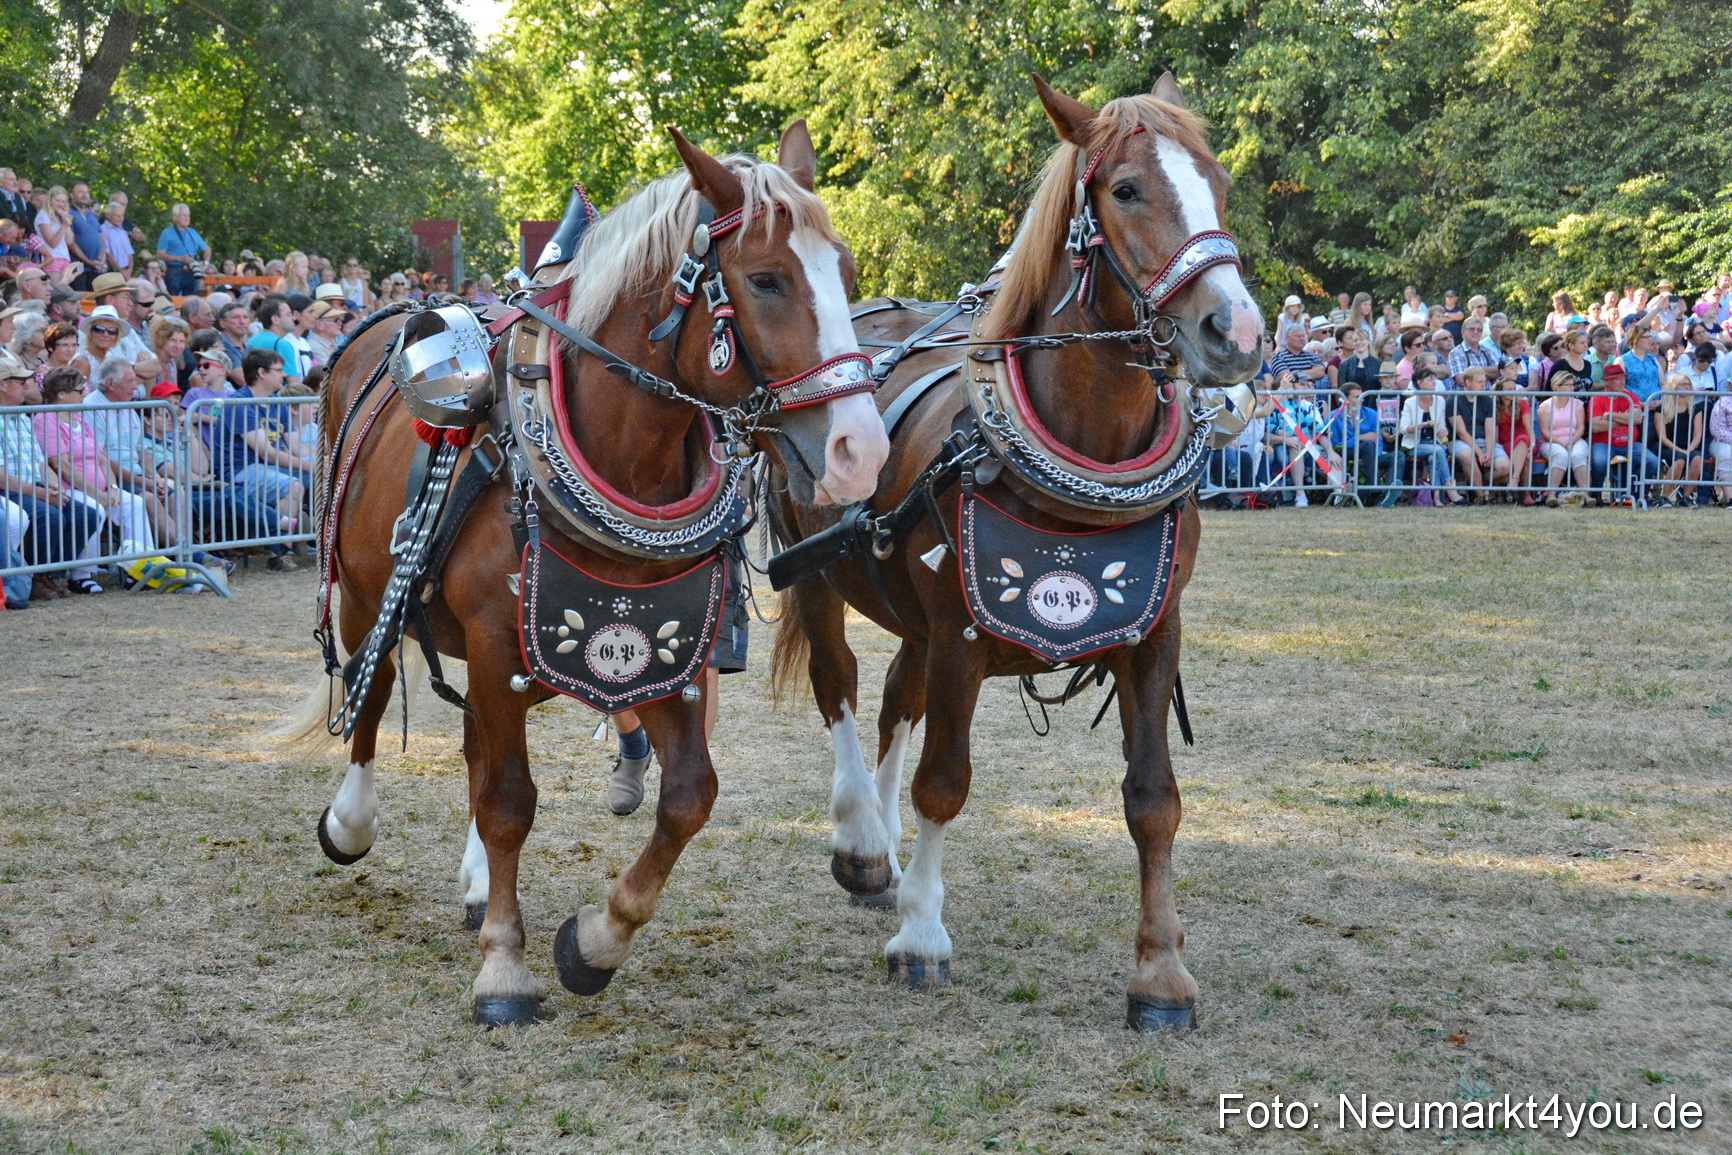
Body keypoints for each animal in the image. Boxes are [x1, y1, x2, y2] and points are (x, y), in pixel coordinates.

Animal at [281, 123, 889, 1026]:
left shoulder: (668, 648)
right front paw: (505, 966)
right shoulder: (499, 643)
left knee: (468, 741)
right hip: (362, 589)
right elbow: (509, 801)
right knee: (371, 682)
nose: (862, 449)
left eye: (845, 274)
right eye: (767, 278)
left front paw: (595, 941)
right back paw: (352, 821)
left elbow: (689, 795)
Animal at [768, 75, 1263, 1030]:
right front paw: (922, 937)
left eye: (1218, 183)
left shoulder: (1154, 630)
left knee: (895, 699)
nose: (1238, 331)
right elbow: (945, 781)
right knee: (840, 686)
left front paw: (1161, 971)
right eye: (1126, 190)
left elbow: (1154, 799)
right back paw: (862, 839)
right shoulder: (961, 637)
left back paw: (885, 850)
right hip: (813, 565)